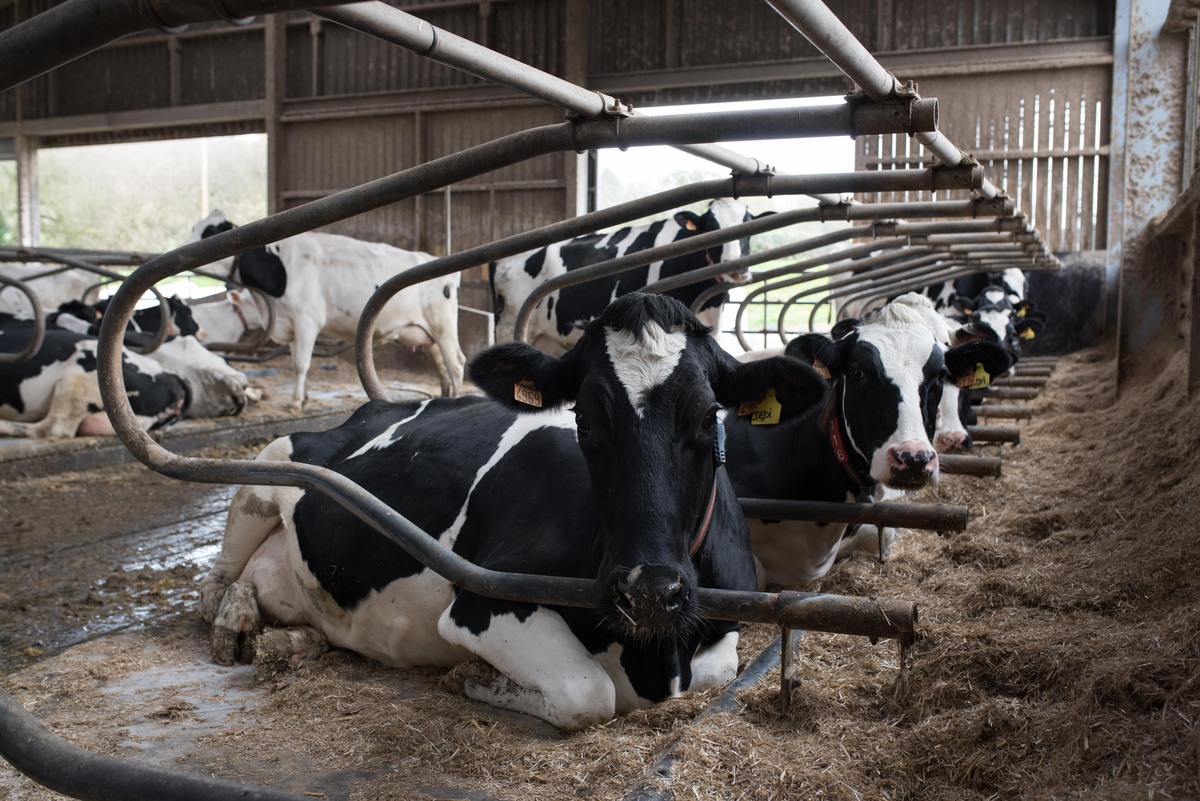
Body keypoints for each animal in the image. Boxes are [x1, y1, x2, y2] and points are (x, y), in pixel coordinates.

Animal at [199, 293, 825, 733]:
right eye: (585, 420)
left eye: (707, 416)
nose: (649, 592)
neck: (654, 653)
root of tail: (375, 408)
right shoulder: (484, 599)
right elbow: (588, 691)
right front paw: (470, 675)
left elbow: (716, 672)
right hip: (268, 464)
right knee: (219, 580)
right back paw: (234, 621)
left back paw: (291, 640)